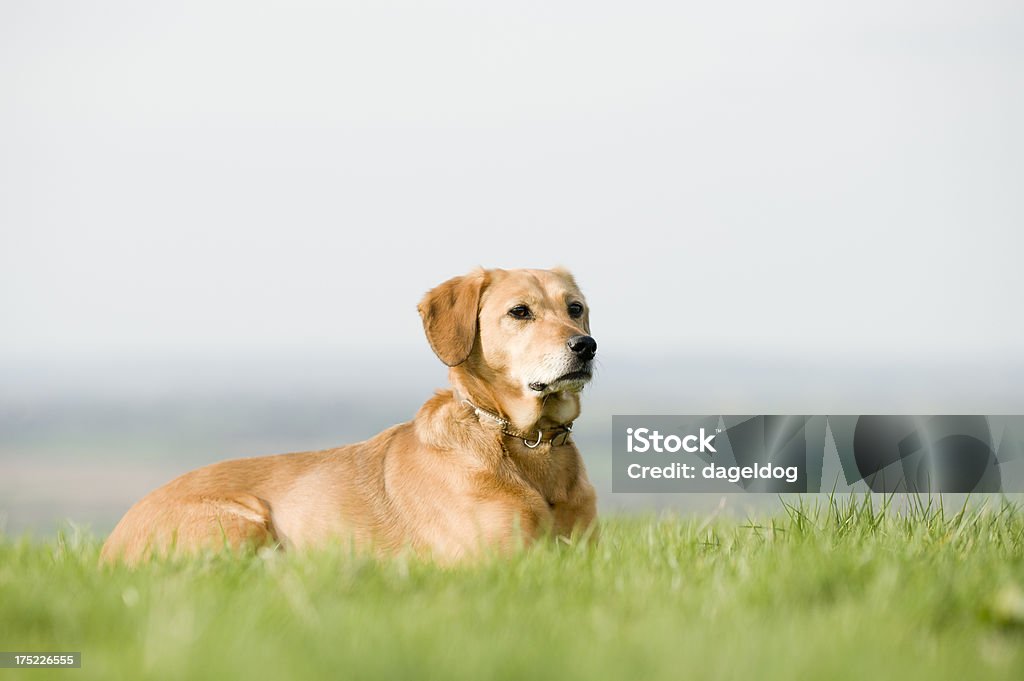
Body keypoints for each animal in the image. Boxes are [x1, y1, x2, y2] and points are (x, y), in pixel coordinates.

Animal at [99, 266, 598, 561]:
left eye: (575, 308)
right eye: (519, 312)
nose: (586, 346)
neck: (526, 441)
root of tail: (108, 547)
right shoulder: (493, 560)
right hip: (243, 520)